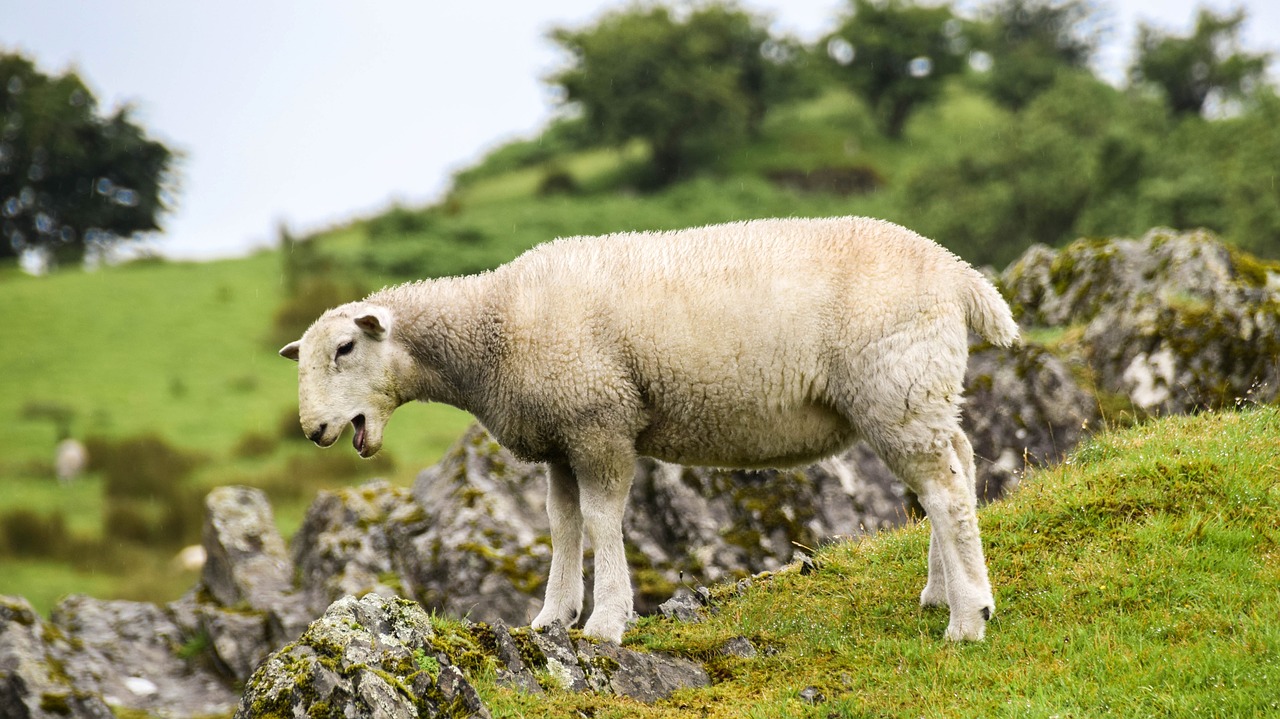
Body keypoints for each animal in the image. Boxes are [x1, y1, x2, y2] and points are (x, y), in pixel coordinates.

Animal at [282, 214, 1018, 639]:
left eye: (345, 348)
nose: (314, 428)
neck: (491, 326)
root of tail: (958, 273)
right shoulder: (559, 438)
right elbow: (563, 526)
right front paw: (551, 617)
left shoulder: (598, 419)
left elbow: (603, 521)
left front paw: (606, 621)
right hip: (919, 390)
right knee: (956, 468)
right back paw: (941, 593)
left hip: (894, 385)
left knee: (944, 490)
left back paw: (968, 619)